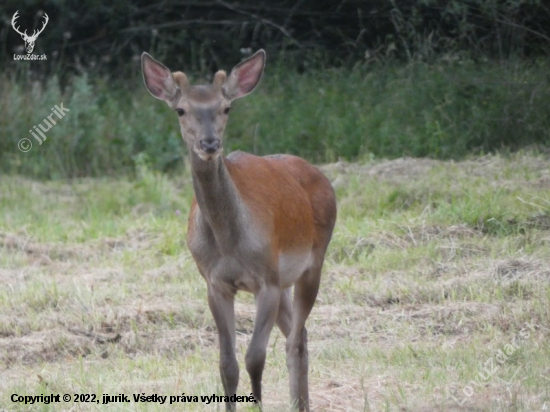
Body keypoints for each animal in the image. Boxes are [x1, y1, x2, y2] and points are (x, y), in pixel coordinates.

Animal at [142, 50, 336, 410]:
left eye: (226, 107)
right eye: (181, 109)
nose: (209, 142)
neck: (229, 242)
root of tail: (319, 174)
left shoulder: (266, 280)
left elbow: (254, 358)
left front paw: (258, 404)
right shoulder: (215, 283)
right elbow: (227, 365)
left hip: (312, 262)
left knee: (295, 341)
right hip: (284, 279)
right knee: (298, 334)